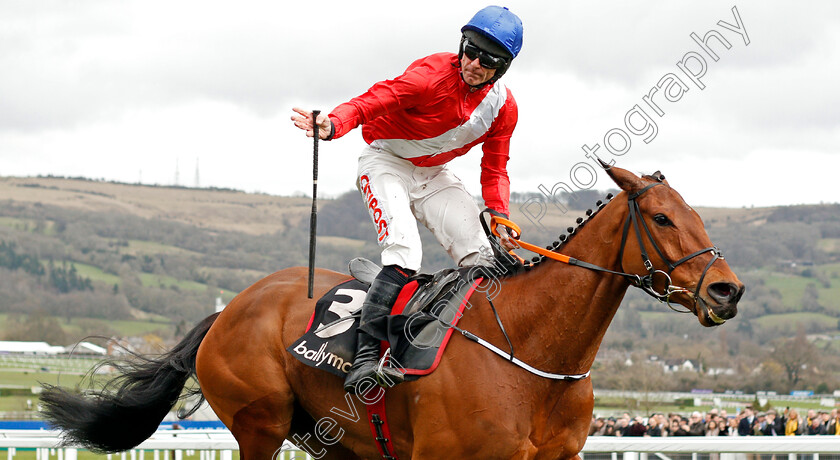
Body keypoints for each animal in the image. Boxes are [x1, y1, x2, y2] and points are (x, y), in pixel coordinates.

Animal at [42, 166, 744, 460]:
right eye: (661, 218)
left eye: (699, 214)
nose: (726, 291)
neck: (533, 352)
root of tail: (230, 309)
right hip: (259, 424)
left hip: (331, 440)